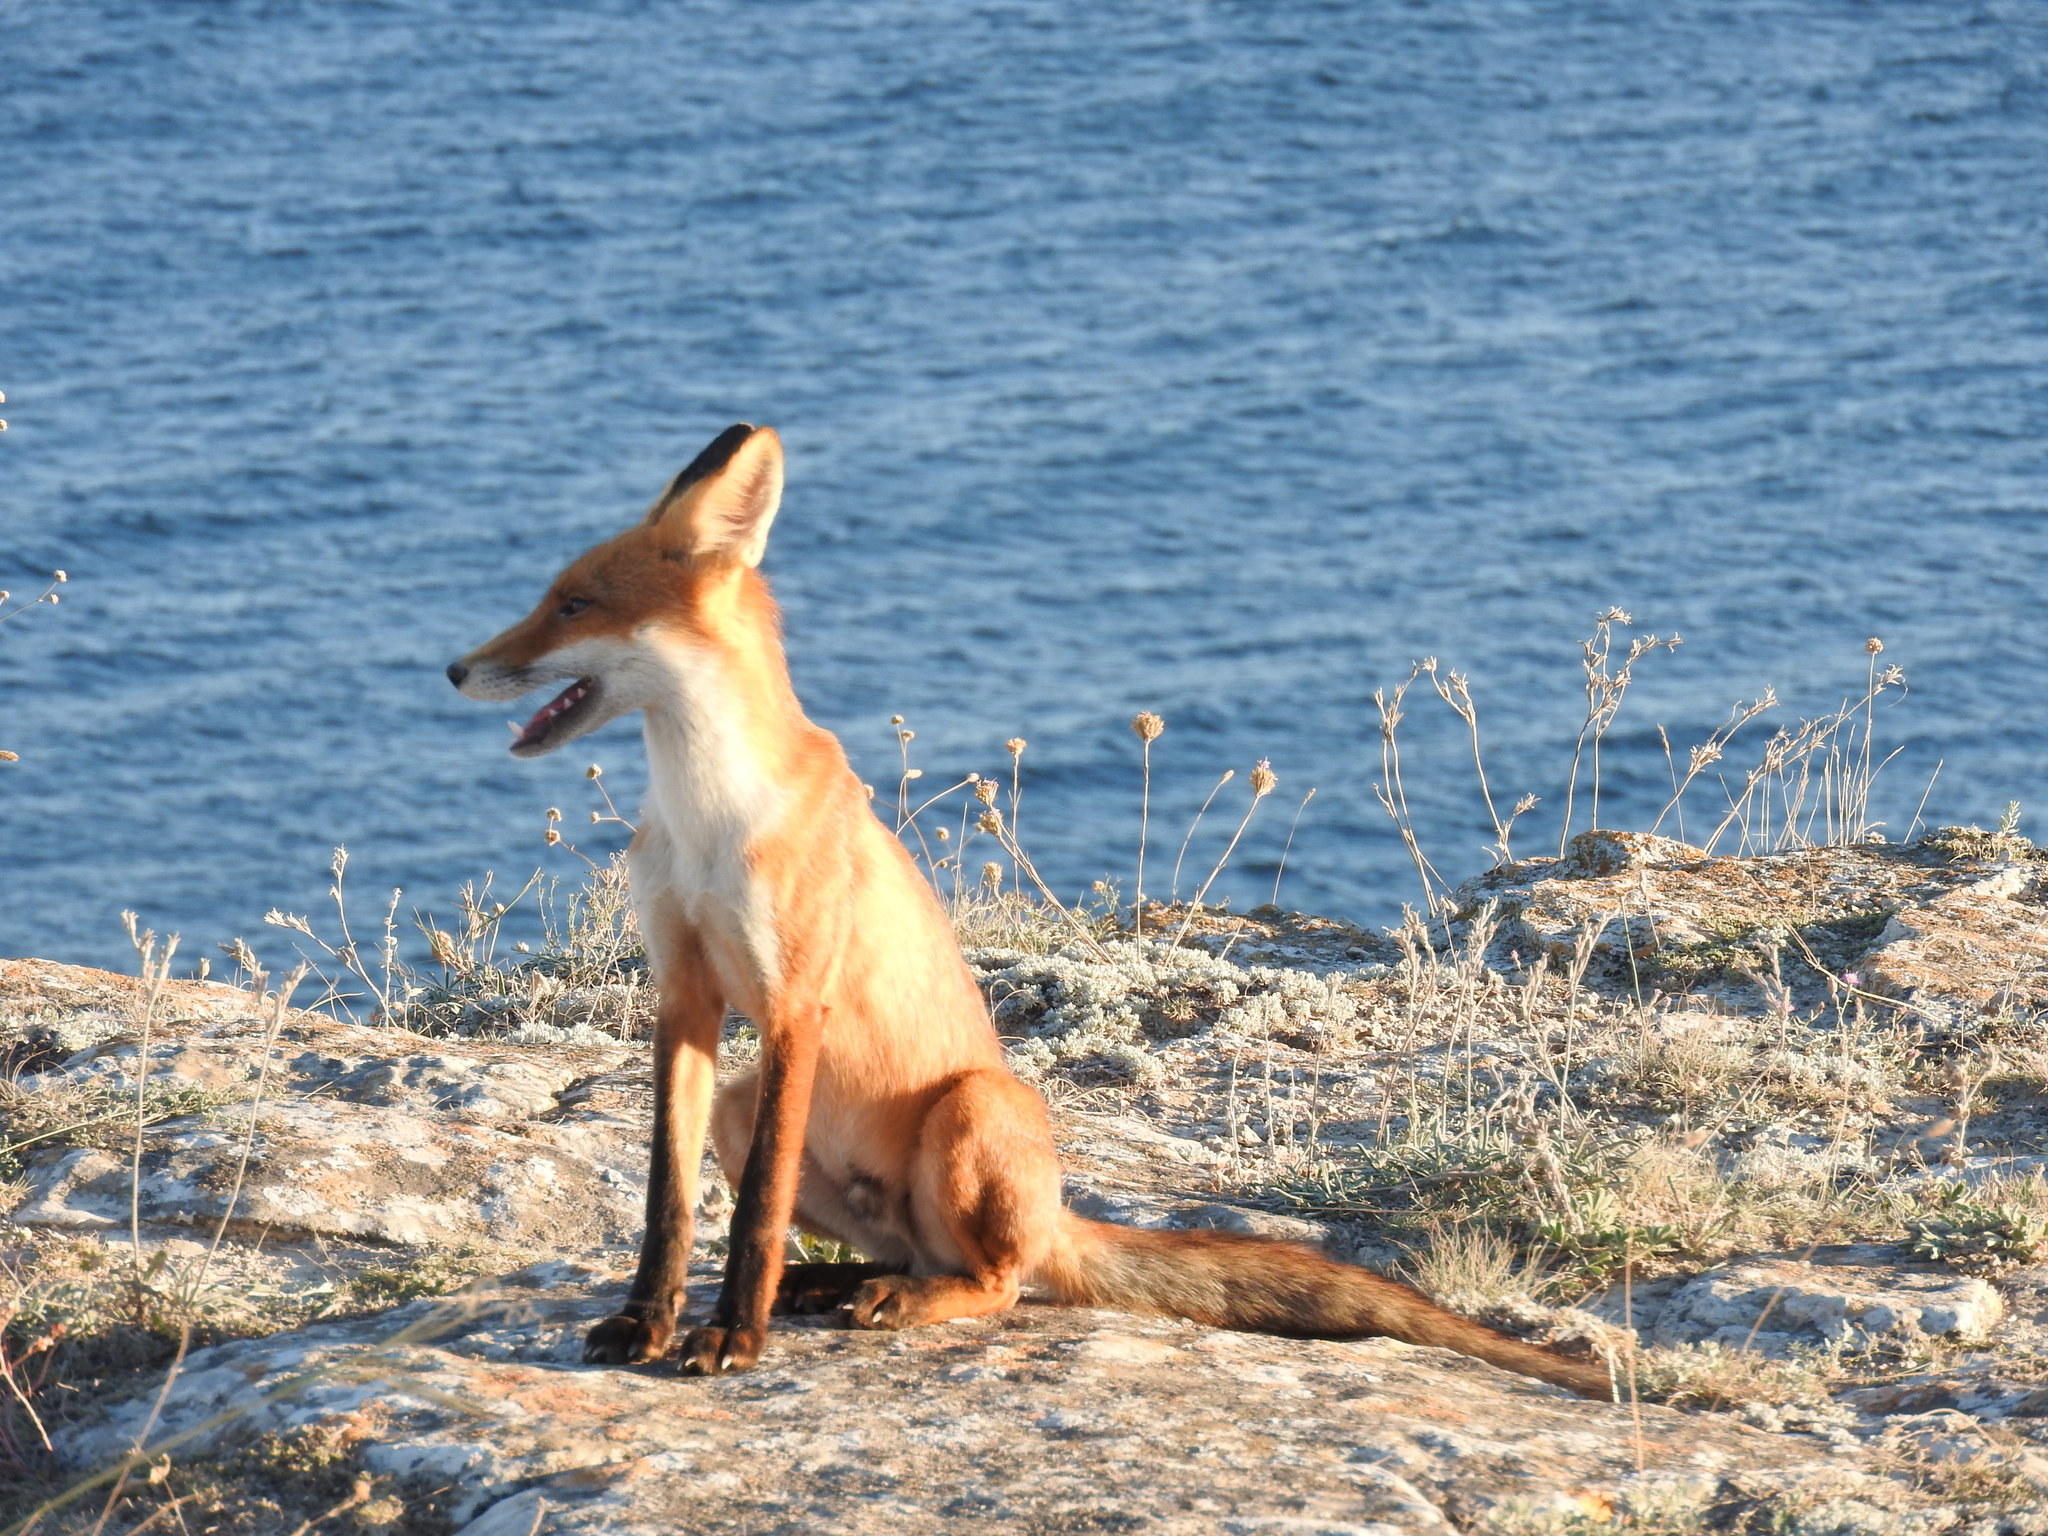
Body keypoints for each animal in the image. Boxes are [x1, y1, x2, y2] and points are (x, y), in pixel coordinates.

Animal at [448, 428, 1613, 1400]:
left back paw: (885, 1299)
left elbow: (756, 1218)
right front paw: (646, 1322)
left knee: (999, 1281)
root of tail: (1053, 1211)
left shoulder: (791, 1006)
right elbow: (671, 1205)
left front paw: (733, 1335)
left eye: (572, 606)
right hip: (749, 1107)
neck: (702, 819)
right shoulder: (686, 998)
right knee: (902, 1253)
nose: (455, 666)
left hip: (969, 1108)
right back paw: (834, 1288)